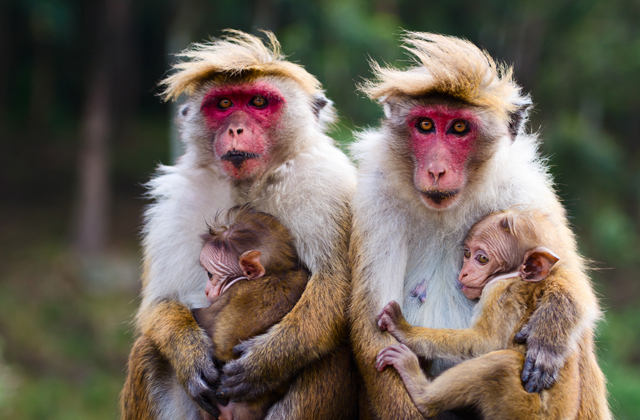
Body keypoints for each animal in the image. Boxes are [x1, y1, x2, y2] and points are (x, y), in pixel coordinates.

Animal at [376, 208, 608, 420]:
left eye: (482, 259)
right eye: (467, 253)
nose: (464, 273)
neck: (515, 275)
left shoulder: (500, 293)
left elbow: (487, 342)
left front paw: (405, 330)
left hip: (519, 408)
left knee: (502, 364)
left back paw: (421, 392)